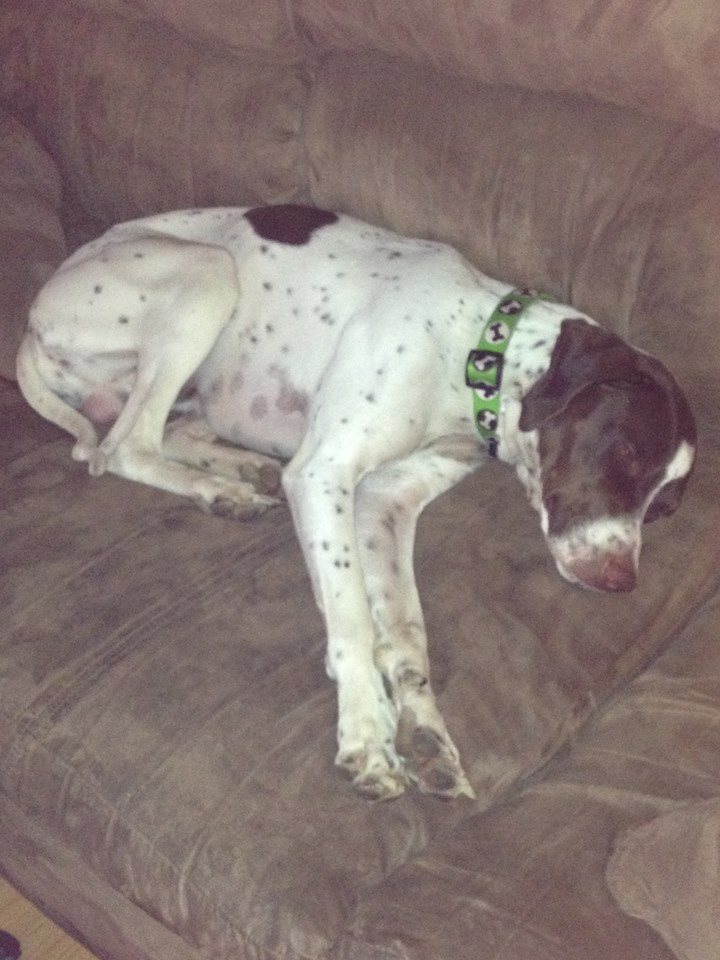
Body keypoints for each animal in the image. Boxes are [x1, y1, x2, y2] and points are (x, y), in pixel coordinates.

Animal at [16, 204, 696, 804]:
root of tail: (30, 323)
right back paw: (221, 489)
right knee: (122, 446)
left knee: (163, 435)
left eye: (662, 511)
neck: (472, 347)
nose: (619, 580)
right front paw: (367, 730)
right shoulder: (325, 472)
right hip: (206, 274)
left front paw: (423, 730)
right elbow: (352, 618)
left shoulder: (381, 500)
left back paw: (243, 473)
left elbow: (403, 630)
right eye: (625, 454)